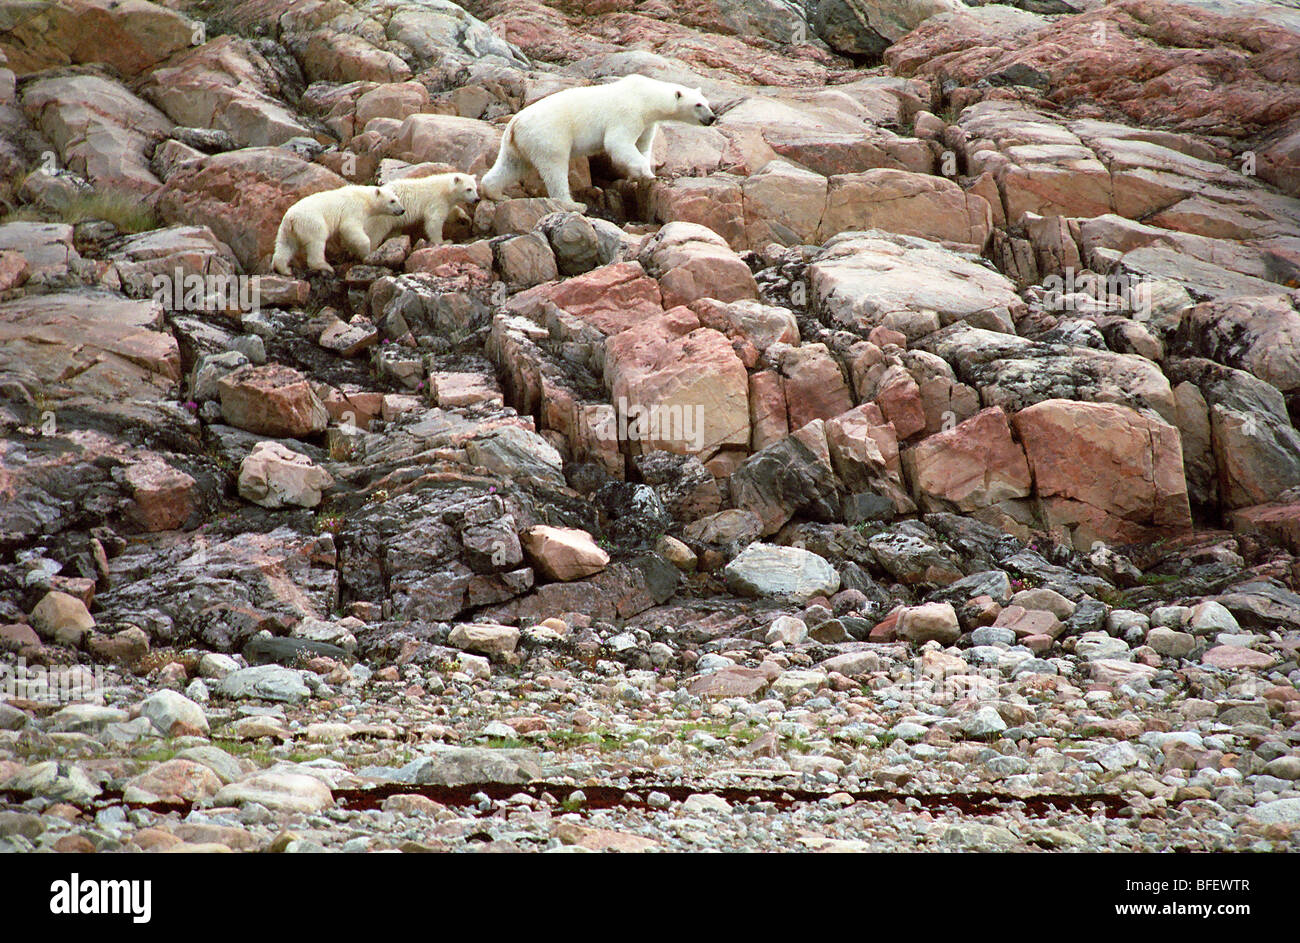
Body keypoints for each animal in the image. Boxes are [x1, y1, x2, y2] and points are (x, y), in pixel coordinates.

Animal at [480, 74, 717, 213]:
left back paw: (495, 192)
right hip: (549, 135)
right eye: (698, 105)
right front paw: (647, 174)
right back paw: (574, 204)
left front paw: (642, 174)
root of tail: (515, 123)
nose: (712, 118)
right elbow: (617, 142)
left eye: (707, 103)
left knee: (511, 165)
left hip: (517, 144)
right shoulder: (628, 113)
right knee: (555, 168)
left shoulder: (647, 122)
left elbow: (643, 145)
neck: (646, 98)